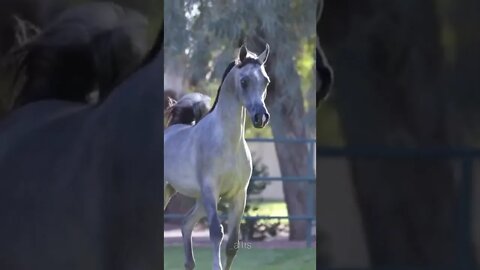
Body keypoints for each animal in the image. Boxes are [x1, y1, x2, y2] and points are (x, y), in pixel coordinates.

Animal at [164, 44, 270, 270]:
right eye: (244, 81)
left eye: (266, 81)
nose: (261, 118)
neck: (228, 144)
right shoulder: (211, 191)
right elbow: (215, 232)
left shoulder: (238, 195)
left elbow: (232, 243)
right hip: (174, 192)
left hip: (199, 200)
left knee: (186, 224)